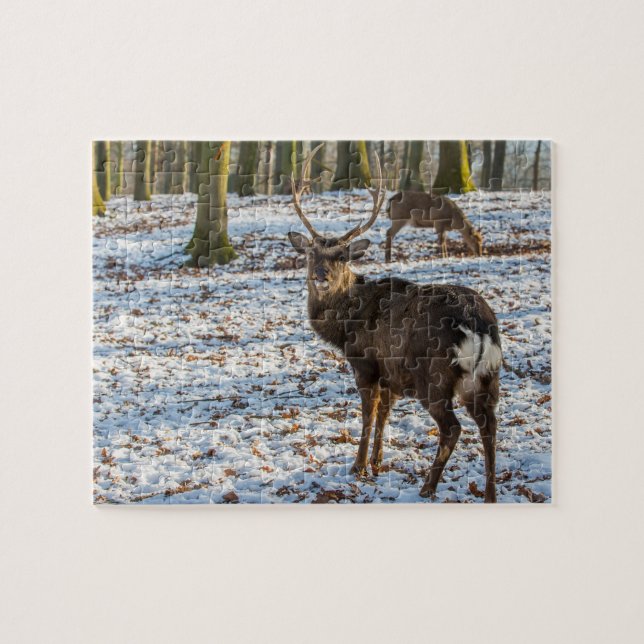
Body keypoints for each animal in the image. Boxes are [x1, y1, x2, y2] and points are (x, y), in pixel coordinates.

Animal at [287, 145, 502, 502]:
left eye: (342, 256)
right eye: (310, 254)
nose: (320, 275)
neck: (346, 326)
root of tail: (480, 326)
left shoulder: (366, 364)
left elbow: (368, 414)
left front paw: (358, 466)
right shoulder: (392, 374)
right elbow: (385, 414)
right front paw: (377, 461)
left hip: (435, 377)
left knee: (453, 428)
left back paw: (428, 487)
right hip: (486, 378)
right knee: (491, 424)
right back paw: (489, 494)